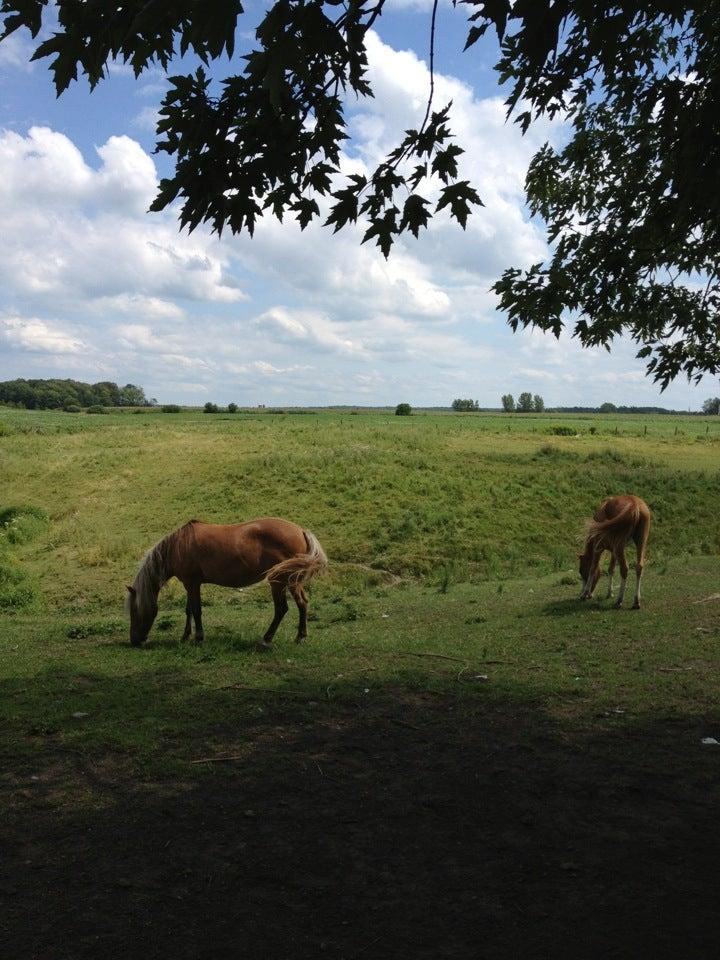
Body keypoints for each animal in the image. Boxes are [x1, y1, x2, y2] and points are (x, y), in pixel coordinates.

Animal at [125, 520, 328, 648]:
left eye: (134, 611)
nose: (134, 641)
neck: (178, 546)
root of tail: (301, 531)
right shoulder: (190, 585)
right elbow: (189, 610)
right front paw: (185, 636)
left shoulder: (192, 583)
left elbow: (196, 610)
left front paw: (199, 638)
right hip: (292, 581)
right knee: (302, 603)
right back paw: (300, 637)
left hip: (280, 581)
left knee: (282, 609)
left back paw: (267, 639)